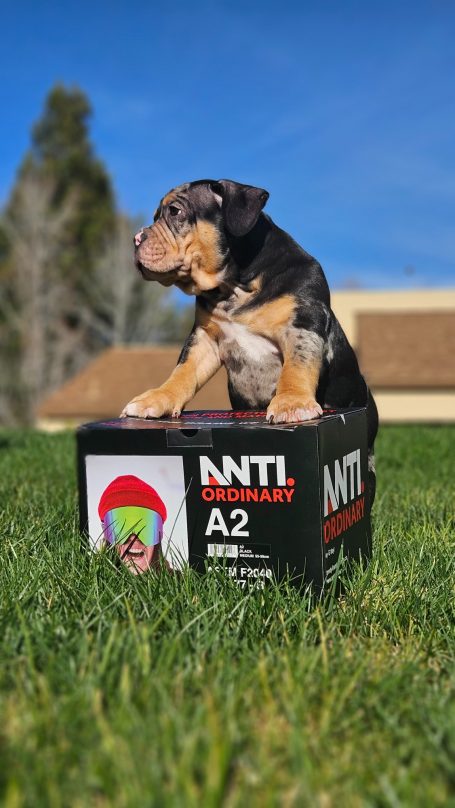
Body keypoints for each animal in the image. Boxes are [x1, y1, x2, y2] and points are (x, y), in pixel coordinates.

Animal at [121, 180, 378, 502]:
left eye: (175, 211)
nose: (135, 239)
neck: (235, 285)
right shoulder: (204, 339)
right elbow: (182, 372)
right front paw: (157, 399)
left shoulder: (303, 324)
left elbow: (297, 366)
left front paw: (291, 403)